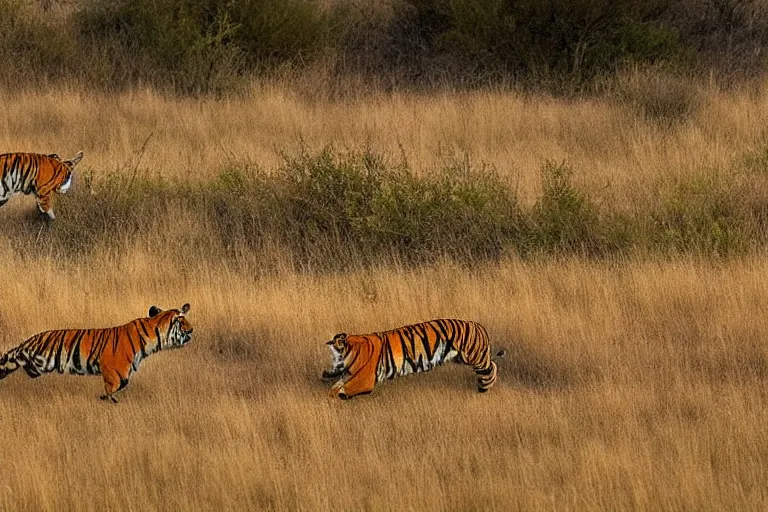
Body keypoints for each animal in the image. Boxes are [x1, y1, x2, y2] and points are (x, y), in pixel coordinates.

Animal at [0, 302, 192, 402]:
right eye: (182, 322)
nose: (191, 330)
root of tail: (26, 342)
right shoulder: (113, 369)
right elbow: (114, 387)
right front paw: (107, 399)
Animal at [322, 316, 504, 400]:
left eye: (333, 357)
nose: (324, 372)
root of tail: (478, 325)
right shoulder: (349, 375)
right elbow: (336, 386)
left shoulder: (364, 379)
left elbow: (344, 388)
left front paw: (336, 397)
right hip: (461, 358)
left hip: (474, 356)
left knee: (491, 367)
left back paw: (484, 387)